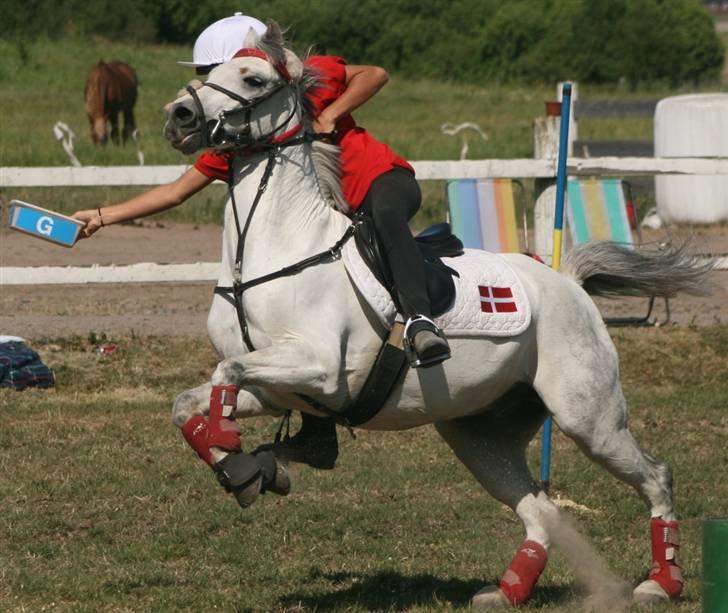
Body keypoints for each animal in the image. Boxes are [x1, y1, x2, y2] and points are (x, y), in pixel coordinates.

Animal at [162, 23, 712, 608]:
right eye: (209, 73)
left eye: (252, 78)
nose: (180, 115)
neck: (276, 249)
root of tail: (567, 282)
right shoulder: (275, 389)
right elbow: (190, 404)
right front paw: (243, 464)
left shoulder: (322, 369)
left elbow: (226, 372)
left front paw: (239, 453)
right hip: (478, 434)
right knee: (541, 510)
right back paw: (509, 590)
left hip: (588, 418)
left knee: (656, 477)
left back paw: (661, 581)